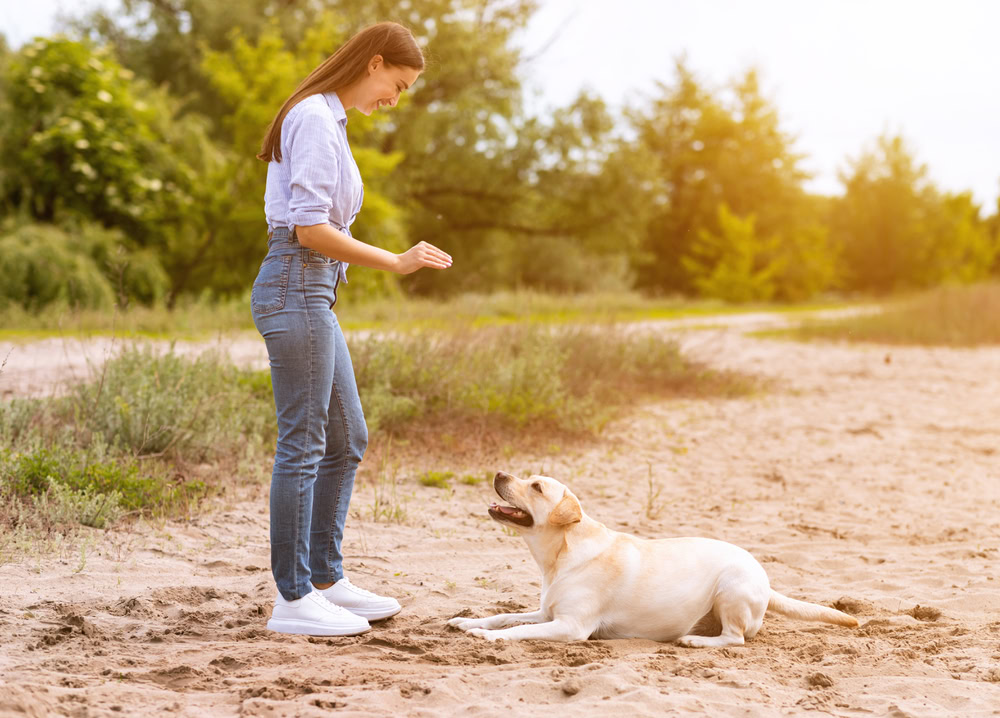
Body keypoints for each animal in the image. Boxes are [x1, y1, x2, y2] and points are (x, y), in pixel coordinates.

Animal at [450, 472, 856, 648]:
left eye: (536, 487)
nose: (499, 472)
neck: (560, 553)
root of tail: (766, 581)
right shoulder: (546, 612)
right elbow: (505, 616)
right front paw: (466, 621)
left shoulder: (570, 626)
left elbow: (516, 630)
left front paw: (484, 636)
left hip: (731, 588)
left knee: (735, 639)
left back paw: (694, 642)